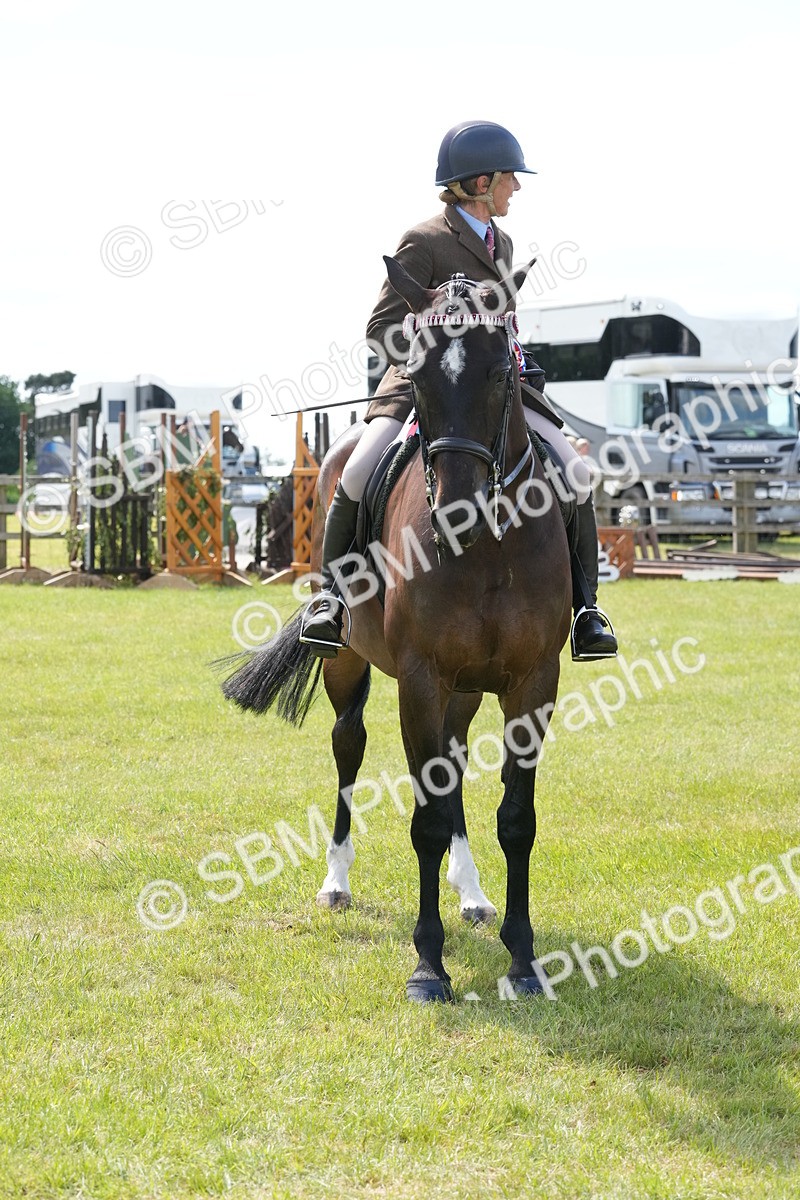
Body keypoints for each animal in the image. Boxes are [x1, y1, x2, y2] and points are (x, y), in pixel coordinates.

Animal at [222, 255, 572, 1002]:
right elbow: (426, 821)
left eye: (502, 371)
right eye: (416, 375)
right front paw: (428, 967)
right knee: (347, 749)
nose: (458, 512)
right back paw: (335, 882)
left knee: (457, 766)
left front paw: (523, 961)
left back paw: (472, 893)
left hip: (467, 690)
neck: (488, 549)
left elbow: (516, 818)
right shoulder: (420, 681)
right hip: (349, 665)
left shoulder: (533, 682)